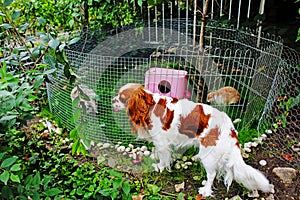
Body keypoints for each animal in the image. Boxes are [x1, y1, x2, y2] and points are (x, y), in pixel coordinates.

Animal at [112, 82, 274, 197]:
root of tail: (231, 128)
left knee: (212, 174)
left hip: (208, 154)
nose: (112, 100)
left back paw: (206, 191)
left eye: (122, 98)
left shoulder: (162, 142)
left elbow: (163, 158)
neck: (149, 105)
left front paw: (160, 167)